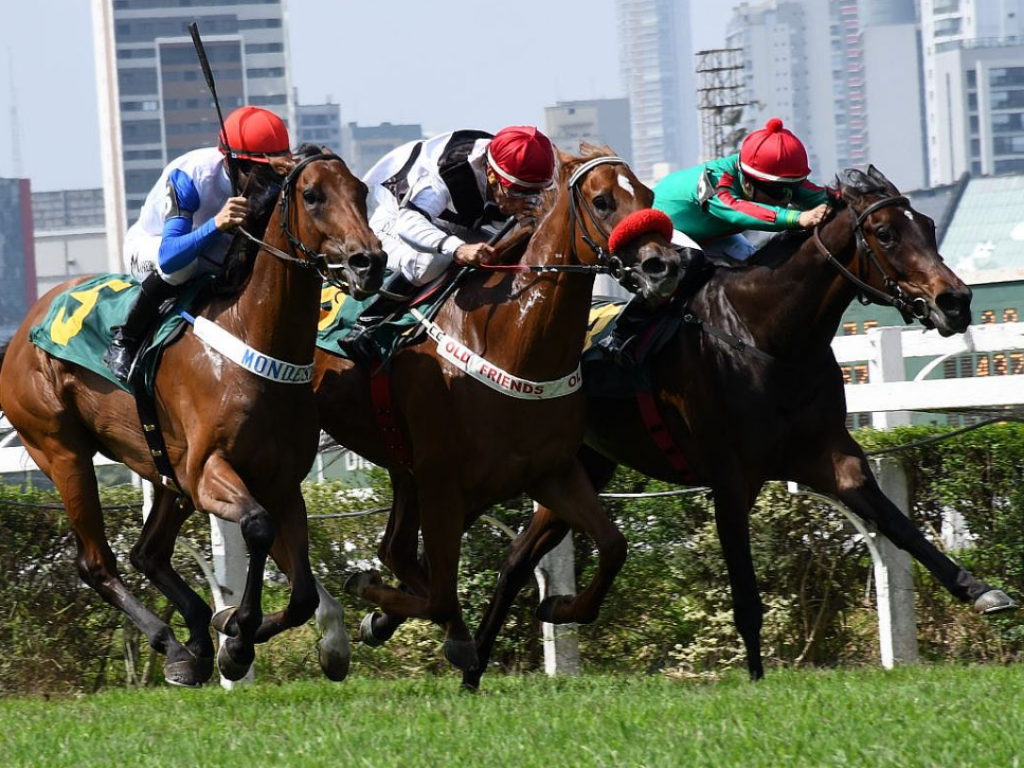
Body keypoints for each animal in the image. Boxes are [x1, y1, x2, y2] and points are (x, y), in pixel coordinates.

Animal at [0, 147, 385, 688]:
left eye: (361, 191)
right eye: (312, 195)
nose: (369, 261)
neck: (253, 339)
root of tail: (23, 329)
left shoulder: (281, 482)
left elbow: (305, 593)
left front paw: (258, 634)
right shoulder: (209, 473)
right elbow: (258, 528)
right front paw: (238, 639)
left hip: (164, 468)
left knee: (148, 552)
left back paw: (199, 637)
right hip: (62, 452)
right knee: (97, 562)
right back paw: (173, 643)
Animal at [315, 145, 684, 671]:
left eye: (650, 196)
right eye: (603, 201)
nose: (664, 267)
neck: (511, 340)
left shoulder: (551, 471)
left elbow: (614, 546)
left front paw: (560, 606)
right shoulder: (442, 479)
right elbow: (442, 595)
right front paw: (377, 606)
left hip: (403, 465)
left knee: (396, 550)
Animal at [456, 165, 1015, 688]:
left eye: (927, 225)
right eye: (884, 233)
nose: (956, 301)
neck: (767, 336)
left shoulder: (830, 456)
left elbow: (900, 527)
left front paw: (980, 590)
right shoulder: (729, 479)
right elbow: (745, 594)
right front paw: (756, 678)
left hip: (582, 470)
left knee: (515, 559)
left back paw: (480, 663)